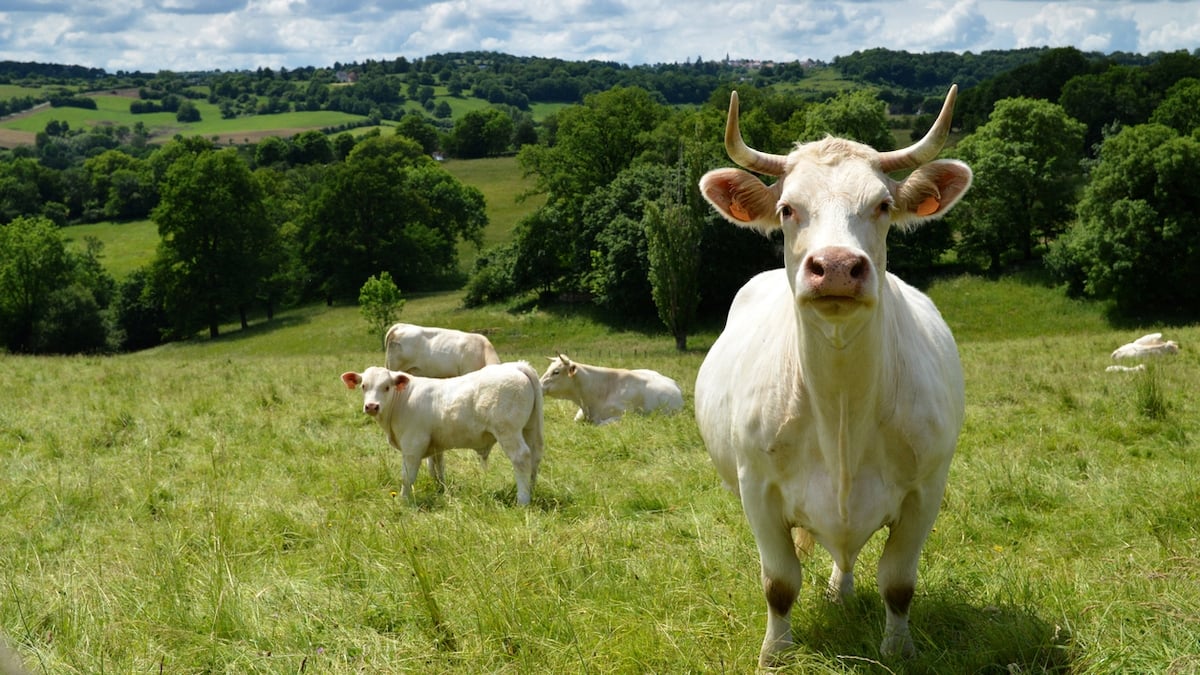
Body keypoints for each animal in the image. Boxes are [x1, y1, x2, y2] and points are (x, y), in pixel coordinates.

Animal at [338, 360, 544, 502]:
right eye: (363, 386)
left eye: (387, 387)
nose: (372, 406)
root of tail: (516, 366)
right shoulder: (435, 444)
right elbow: (436, 468)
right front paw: (440, 490)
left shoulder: (413, 444)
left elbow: (407, 476)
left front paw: (404, 501)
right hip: (530, 429)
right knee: (535, 457)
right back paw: (532, 489)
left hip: (508, 431)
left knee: (521, 457)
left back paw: (523, 499)